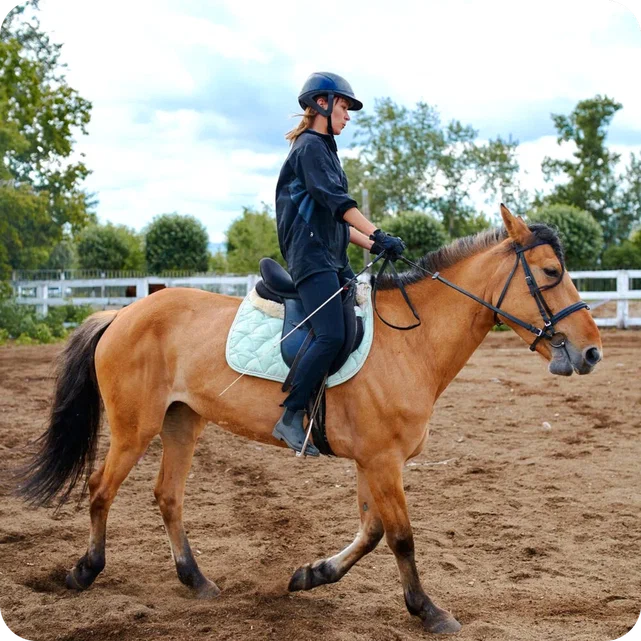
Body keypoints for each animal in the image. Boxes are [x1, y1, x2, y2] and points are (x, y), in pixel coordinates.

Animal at [17, 205, 604, 632]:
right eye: (551, 273)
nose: (592, 352)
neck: (411, 342)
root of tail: (122, 313)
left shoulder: (373, 461)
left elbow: (372, 532)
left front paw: (311, 575)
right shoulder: (383, 461)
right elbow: (401, 537)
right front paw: (429, 611)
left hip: (183, 421)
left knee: (168, 496)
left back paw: (195, 580)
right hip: (135, 427)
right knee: (100, 488)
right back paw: (85, 571)